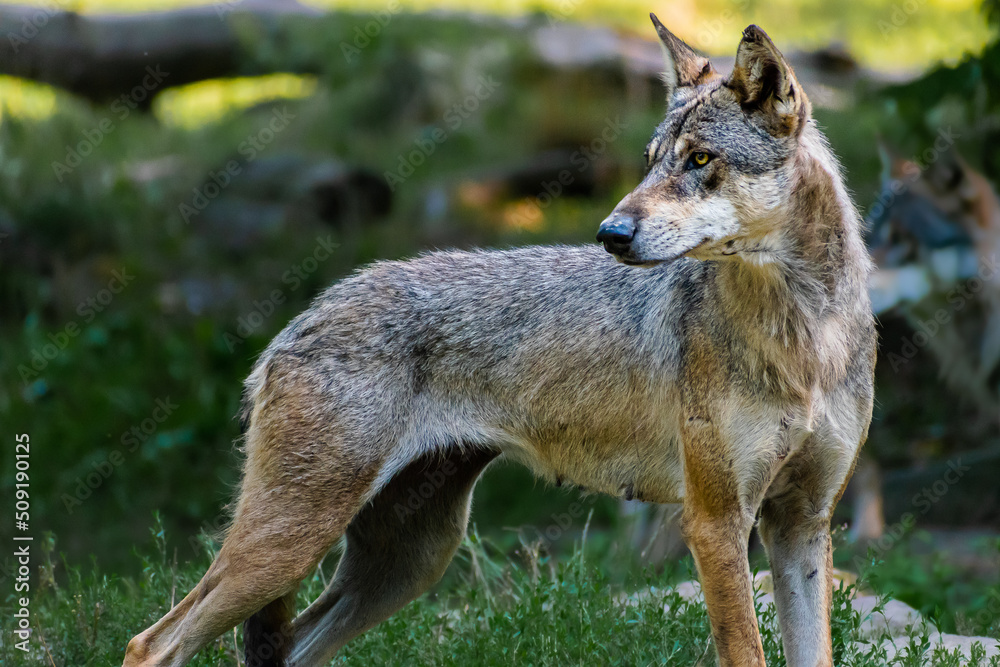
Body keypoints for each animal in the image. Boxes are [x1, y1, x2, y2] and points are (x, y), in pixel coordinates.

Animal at [123, 16, 875, 667]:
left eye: (700, 159)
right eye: (650, 162)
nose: (609, 233)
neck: (806, 332)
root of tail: (296, 323)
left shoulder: (801, 526)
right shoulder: (716, 522)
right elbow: (746, 650)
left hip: (406, 561)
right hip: (293, 543)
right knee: (150, 643)